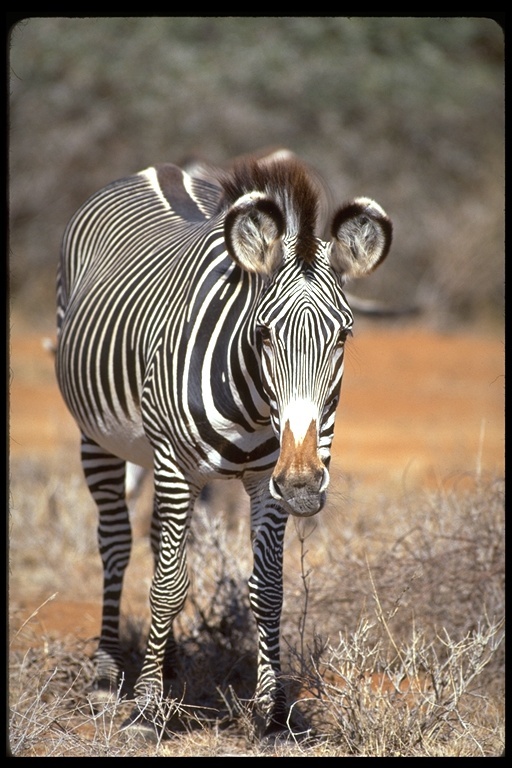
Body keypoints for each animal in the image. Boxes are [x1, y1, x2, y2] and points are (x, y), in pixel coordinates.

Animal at [56, 152, 392, 736]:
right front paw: (146, 710)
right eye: (263, 334)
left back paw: (166, 663)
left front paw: (273, 711)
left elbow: (267, 588)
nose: (303, 485)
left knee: (157, 544)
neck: (253, 402)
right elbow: (169, 585)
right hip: (98, 438)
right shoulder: (173, 460)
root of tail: (160, 169)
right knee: (117, 543)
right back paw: (105, 677)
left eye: (345, 336)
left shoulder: (265, 480)